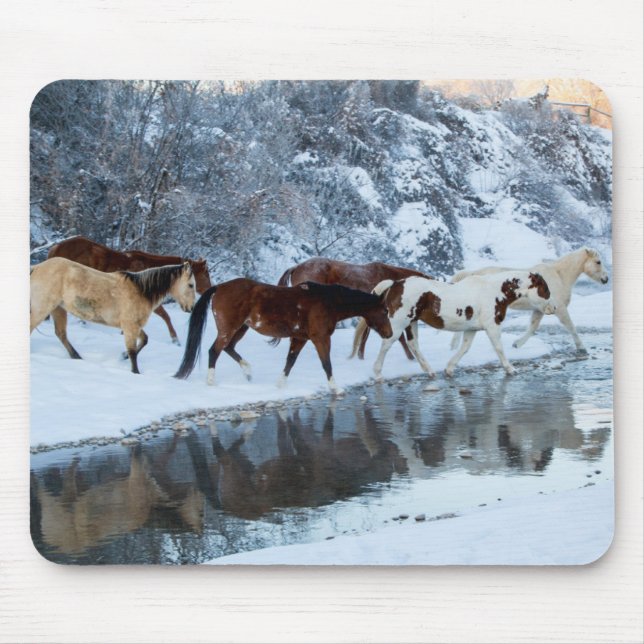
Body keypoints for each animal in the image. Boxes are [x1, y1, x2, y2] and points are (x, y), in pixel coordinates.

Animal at [30, 257, 196, 373]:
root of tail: (36, 267)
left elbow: (144, 341)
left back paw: (77, 357)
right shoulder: (130, 326)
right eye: (191, 285)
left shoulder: (133, 326)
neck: (141, 291)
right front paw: (135, 372)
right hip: (43, 308)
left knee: (61, 334)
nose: (191, 308)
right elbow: (133, 352)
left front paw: (122, 356)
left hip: (58, 309)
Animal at [174, 279, 393, 394]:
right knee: (215, 350)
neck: (328, 302)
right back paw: (212, 382)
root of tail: (220, 287)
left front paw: (280, 385)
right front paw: (335, 388)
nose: (390, 333)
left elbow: (290, 361)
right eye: (384, 311)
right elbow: (326, 363)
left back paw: (248, 372)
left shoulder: (300, 338)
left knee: (228, 348)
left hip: (241, 329)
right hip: (229, 329)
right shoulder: (320, 338)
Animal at [351, 271, 555, 380]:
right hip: (400, 322)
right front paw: (511, 369)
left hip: (412, 322)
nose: (553, 307)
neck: (495, 292)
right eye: (545, 289)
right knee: (388, 343)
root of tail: (395, 283)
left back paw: (430, 372)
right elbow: (499, 348)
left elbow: (464, 348)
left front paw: (449, 369)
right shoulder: (492, 326)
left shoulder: (471, 329)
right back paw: (378, 374)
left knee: (413, 344)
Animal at [449, 247, 609, 353]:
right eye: (598, 262)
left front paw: (517, 344)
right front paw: (581, 348)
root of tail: (470, 274)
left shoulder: (540, 309)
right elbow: (571, 326)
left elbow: (533, 327)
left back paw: (453, 346)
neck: (559, 276)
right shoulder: (560, 308)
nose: (606, 279)